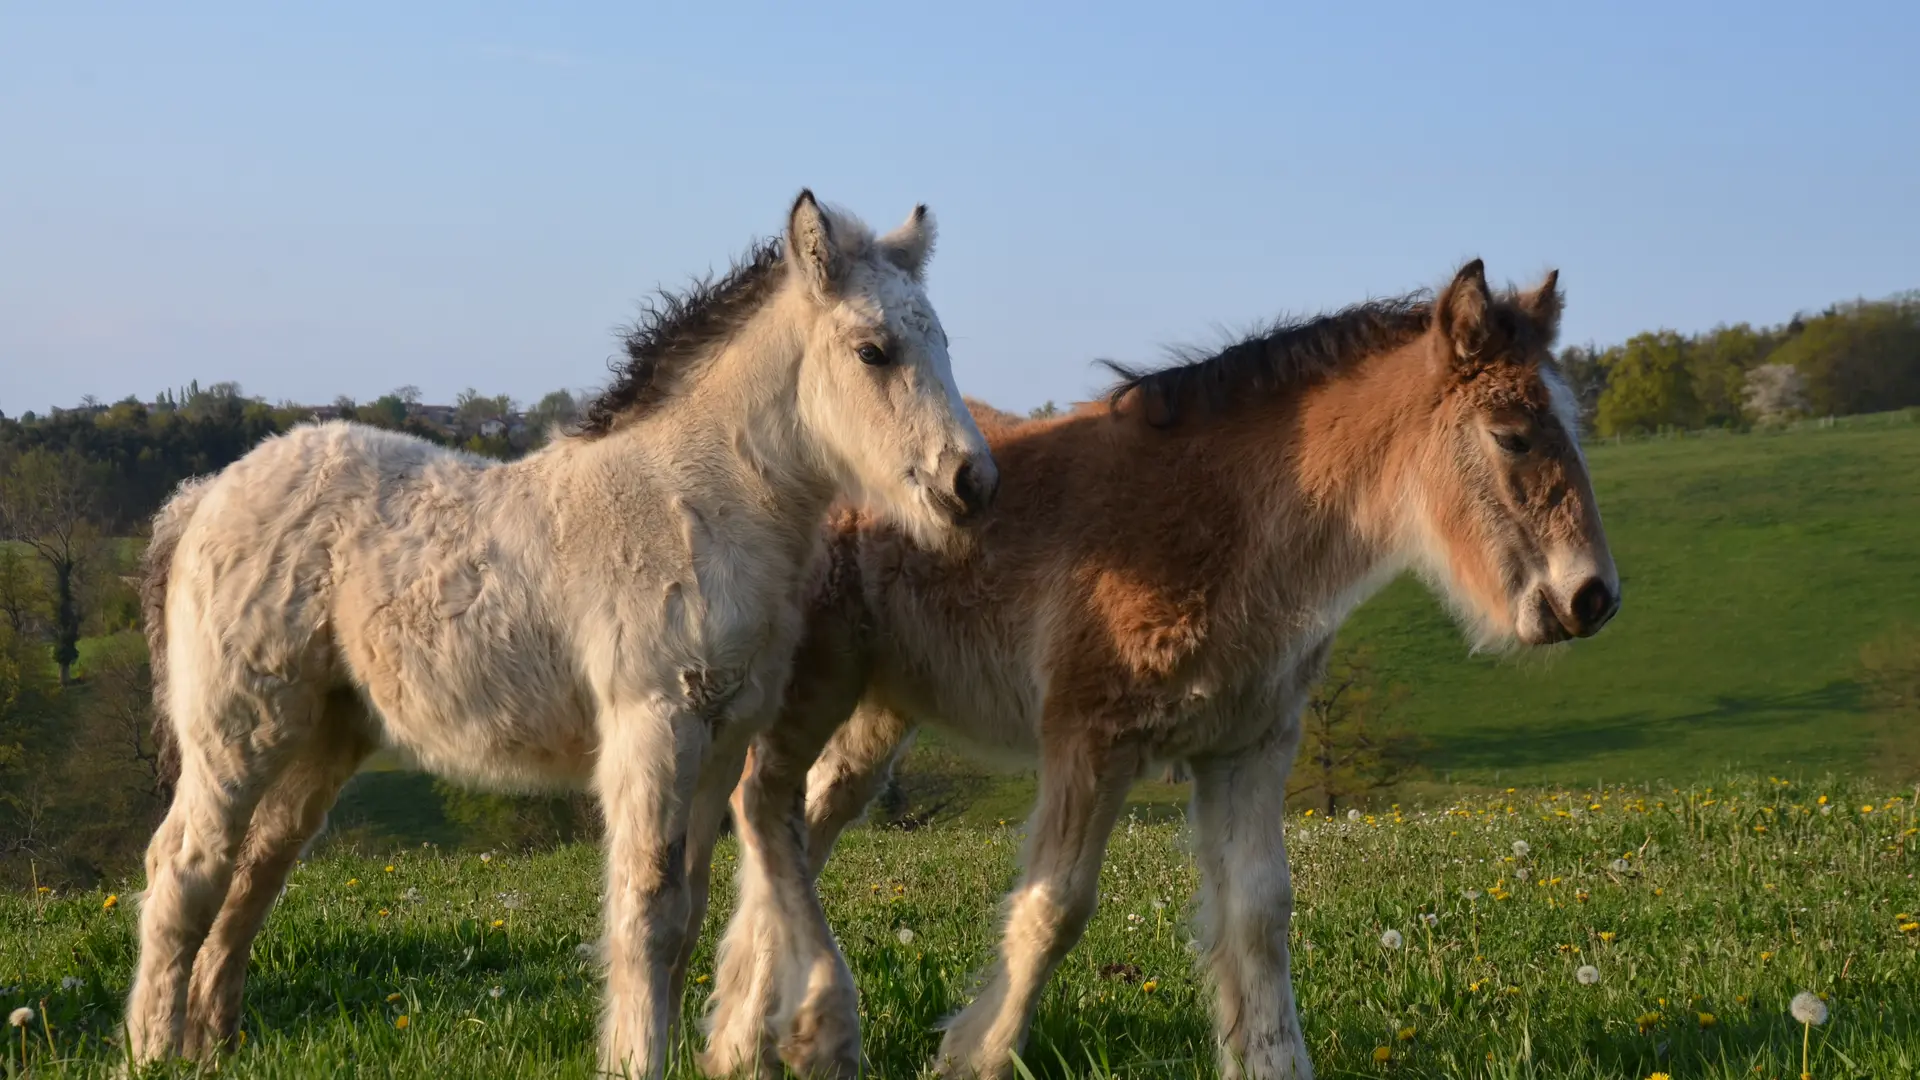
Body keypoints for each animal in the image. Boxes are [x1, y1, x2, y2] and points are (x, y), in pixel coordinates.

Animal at [124, 190, 999, 1079]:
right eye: (873, 351)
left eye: (943, 342)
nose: (973, 482)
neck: (694, 502)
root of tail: (205, 495)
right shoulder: (653, 724)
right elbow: (646, 910)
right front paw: (635, 1060)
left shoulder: (721, 740)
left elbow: (686, 913)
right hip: (238, 729)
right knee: (186, 869)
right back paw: (154, 1049)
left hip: (325, 737)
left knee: (257, 869)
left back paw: (211, 1045)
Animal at [702, 259, 1620, 1079]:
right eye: (1510, 435)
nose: (1593, 598)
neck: (1228, 520)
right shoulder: (1089, 735)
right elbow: (1055, 909)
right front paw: (974, 1056)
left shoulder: (1247, 747)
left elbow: (1259, 912)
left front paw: (1271, 1063)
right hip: (811, 681)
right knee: (760, 806)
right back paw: (760, 1034)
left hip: (875, 708)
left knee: (800, 820)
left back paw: (742, 1039)